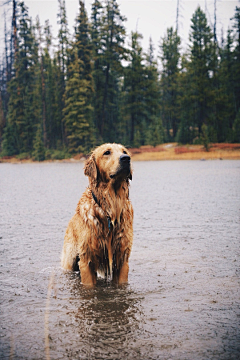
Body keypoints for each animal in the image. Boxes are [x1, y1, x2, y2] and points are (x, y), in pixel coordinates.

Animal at [60, 142, 133, 286]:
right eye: (107, 152)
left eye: (124, 151)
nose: (126, 159)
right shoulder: (86, 259)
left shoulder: (122, 258)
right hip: (70, 259)